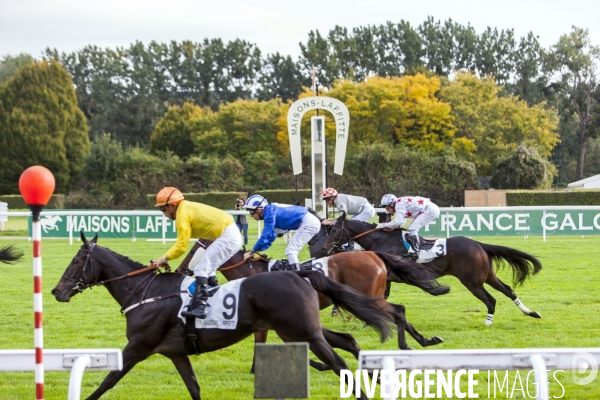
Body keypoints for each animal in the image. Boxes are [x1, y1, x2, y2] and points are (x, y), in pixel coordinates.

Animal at [51, 234, 394, 400]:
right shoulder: (176, 352)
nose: (56, 291)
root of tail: (299, 274)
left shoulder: (138, 346)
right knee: (346, 341)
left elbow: (108, 381)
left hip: (302, 331)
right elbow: (194, 388)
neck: (143, 291)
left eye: (76, 261)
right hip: (301, 328)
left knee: (338, 362)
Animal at [324, 212, 544, 324]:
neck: (382, 240)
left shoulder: (392, 275)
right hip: (487, 275)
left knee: (491, 299)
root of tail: (479, 245)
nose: (326, 248)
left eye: (333, 230)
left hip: (472, 281)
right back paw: (530, 312)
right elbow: (382, 296)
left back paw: (488, 322)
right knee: (508, 290)